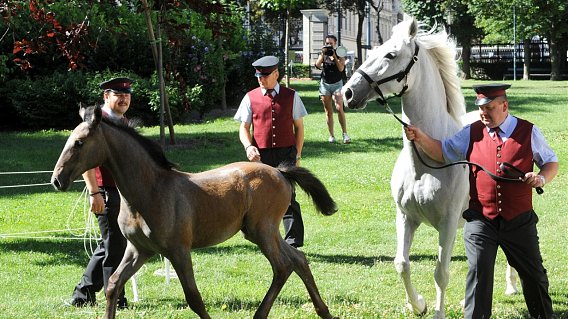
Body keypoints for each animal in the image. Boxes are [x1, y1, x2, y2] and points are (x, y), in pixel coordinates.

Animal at [340, 18, 516, 319]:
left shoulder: (447, 223)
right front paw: (418, 304)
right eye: (374, 50)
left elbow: (441, 273)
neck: (428, 163)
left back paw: (511, 286)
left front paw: (437, 312)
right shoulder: (405, 217)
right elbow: (401, 263)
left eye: (391, 55)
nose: (348, 93)